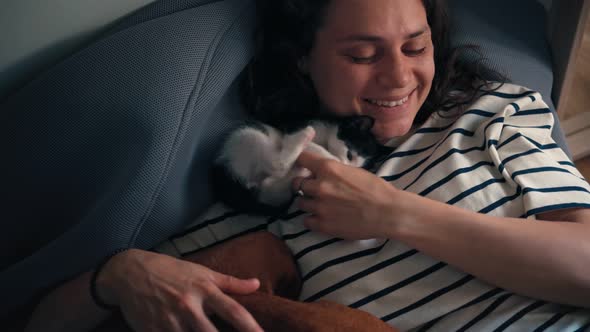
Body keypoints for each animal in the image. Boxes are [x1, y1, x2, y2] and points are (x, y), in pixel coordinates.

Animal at [210, 116, 382, 215]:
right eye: (349, 155)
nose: (343, 169)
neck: (326, 136)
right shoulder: (294, 128)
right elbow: (316, 149)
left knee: (269, 185)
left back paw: (300, 171)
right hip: (245, 137)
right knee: (277, 164)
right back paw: (305, 136)